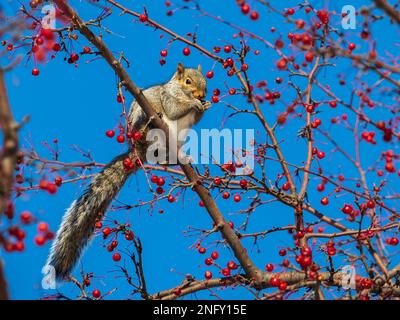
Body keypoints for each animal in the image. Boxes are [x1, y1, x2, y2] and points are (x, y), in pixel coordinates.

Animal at [46, 63, 209, 280]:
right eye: (188, 81)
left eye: (205, 82)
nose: (202, 95)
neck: (180, 90)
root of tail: (136, 151)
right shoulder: (168, 97)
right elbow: (174, 110)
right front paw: (194, 104)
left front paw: (205, 105)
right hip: (144, 123)